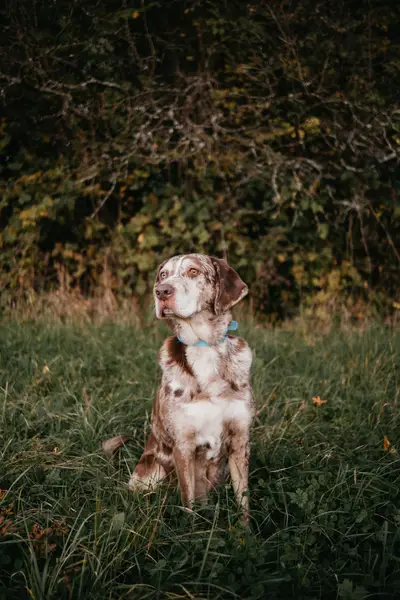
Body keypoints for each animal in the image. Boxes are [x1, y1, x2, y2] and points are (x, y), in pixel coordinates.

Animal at [128, 253, 253, 520]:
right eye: (163, 274)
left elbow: (243, 503)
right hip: (152, 468)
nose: (161, 291)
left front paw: (247, 530)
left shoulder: (240, 442)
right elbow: (188, 503)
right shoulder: (183, 446)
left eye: (193, 271)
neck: (203, 346)